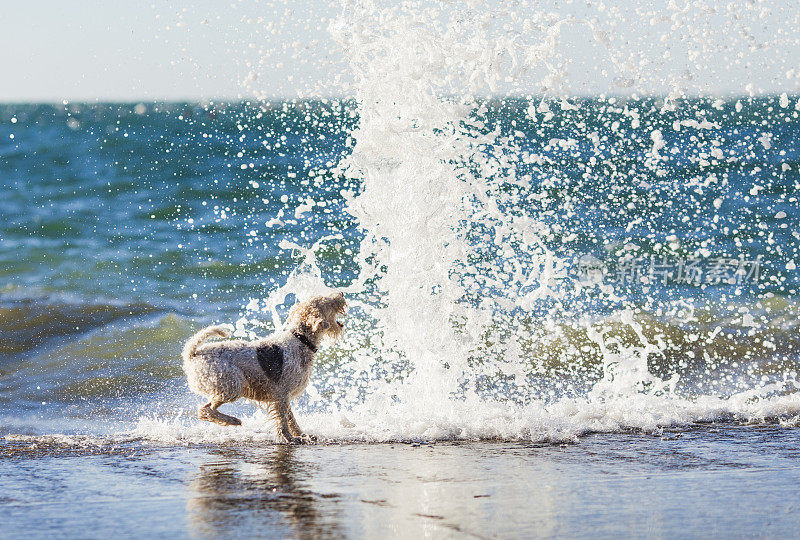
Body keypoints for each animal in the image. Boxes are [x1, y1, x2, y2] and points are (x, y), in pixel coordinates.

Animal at [181, 292, 346, 442]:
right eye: (326, 300)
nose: (341, 293)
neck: (301, 340)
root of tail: (193, 354)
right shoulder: (282, 395)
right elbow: (283, 420)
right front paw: (289, 438)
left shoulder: (284, 396)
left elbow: (291, 419)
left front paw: (302, 435)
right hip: (232, 386)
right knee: (205, 410)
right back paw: (233, 420)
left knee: (205, 410)